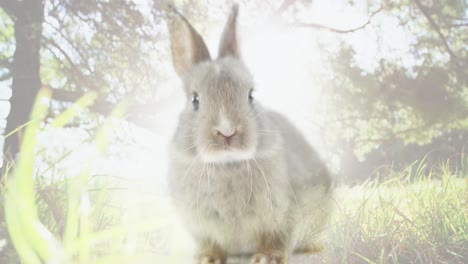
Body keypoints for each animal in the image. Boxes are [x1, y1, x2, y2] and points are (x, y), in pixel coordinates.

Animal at [166, 4, 330, 264]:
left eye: (251, 95)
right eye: (195, 100)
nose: (227, 131)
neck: (227, 164)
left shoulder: (282, 215)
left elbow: (277, 239)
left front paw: (266, 258)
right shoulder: (200, 226)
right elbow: (209, 243)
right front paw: (207, 258)